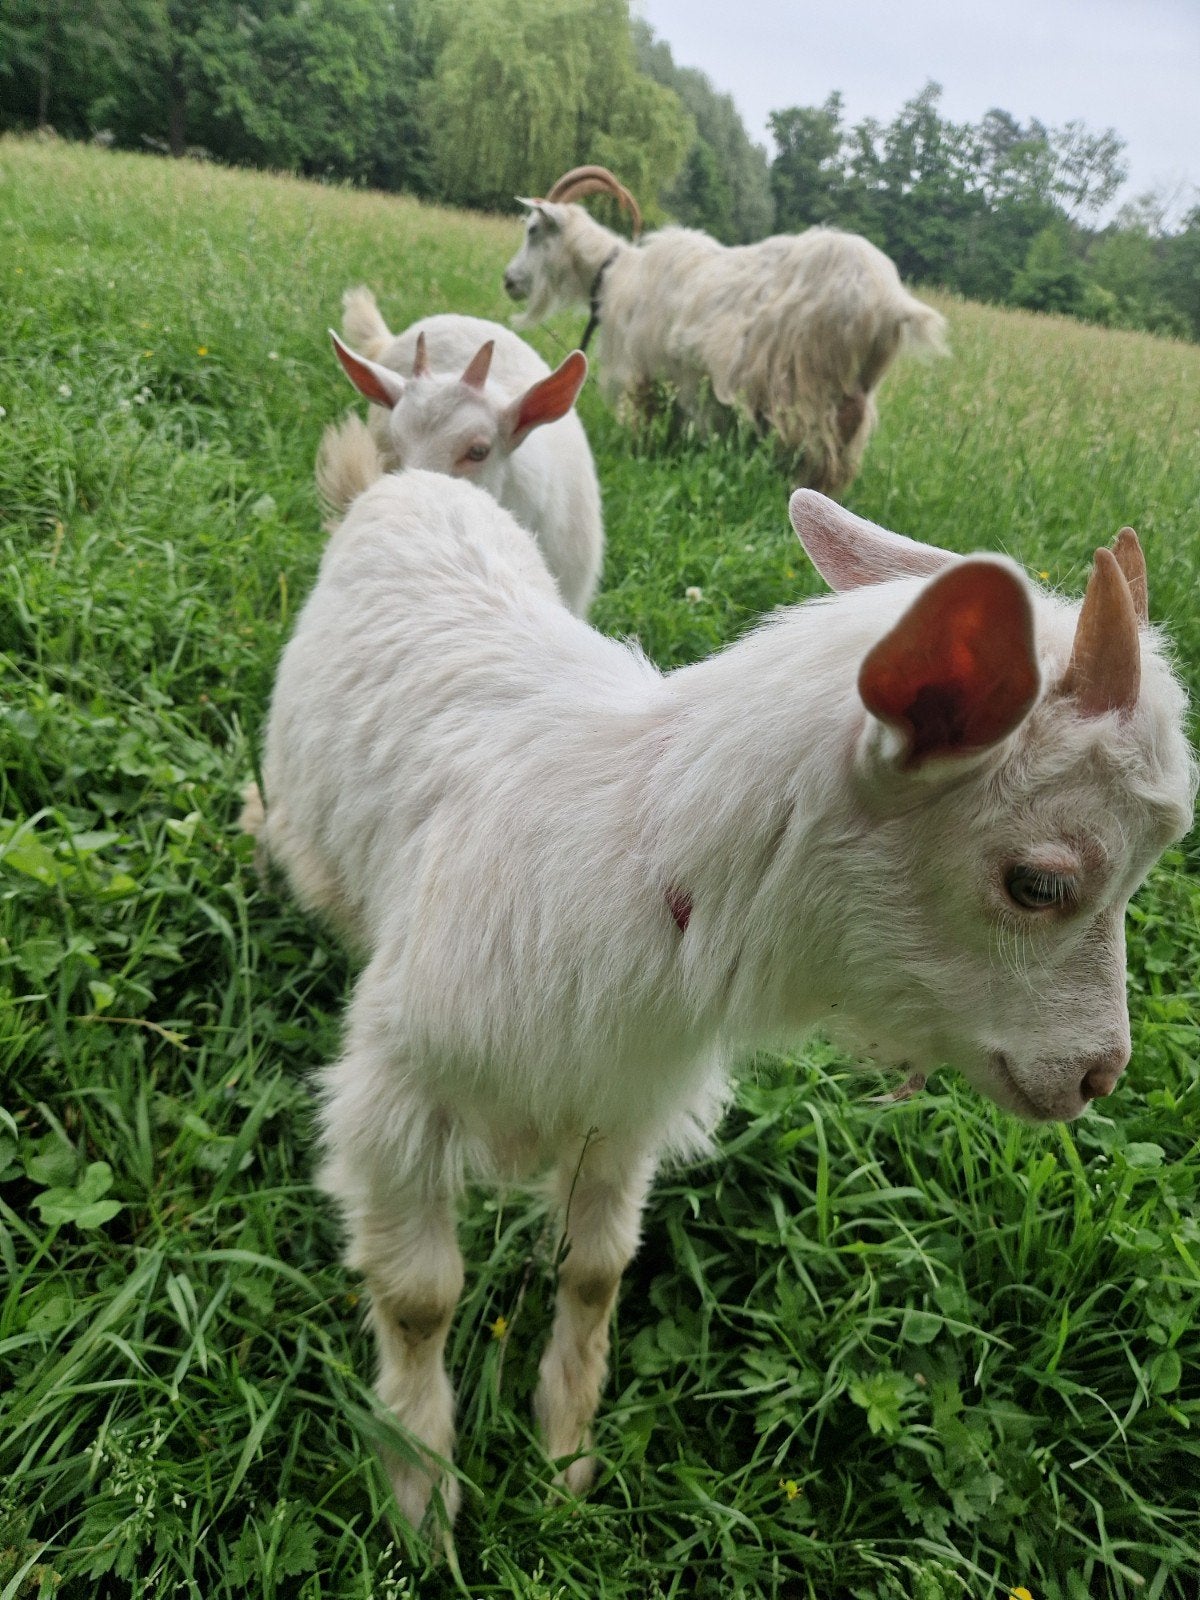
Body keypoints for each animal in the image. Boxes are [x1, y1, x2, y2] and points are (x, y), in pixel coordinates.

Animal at [255, 469, 1195, 1530]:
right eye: (1038, 884)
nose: (1097, 1075)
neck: (641, 862)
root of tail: (417, 477)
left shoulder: (620, 1106)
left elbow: (594, 1271)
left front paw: (564, 1453)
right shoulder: (400, 1098)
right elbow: (421, 1297)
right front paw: (422, 1495)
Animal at [502, 165, 947, 496]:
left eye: (533, 230)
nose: (508, 281)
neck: (615, 274)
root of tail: (889, 301)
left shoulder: (646, 372)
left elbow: (647, 427)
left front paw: (641, 455)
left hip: (804, 386)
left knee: (817, 449)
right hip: (856, 389)